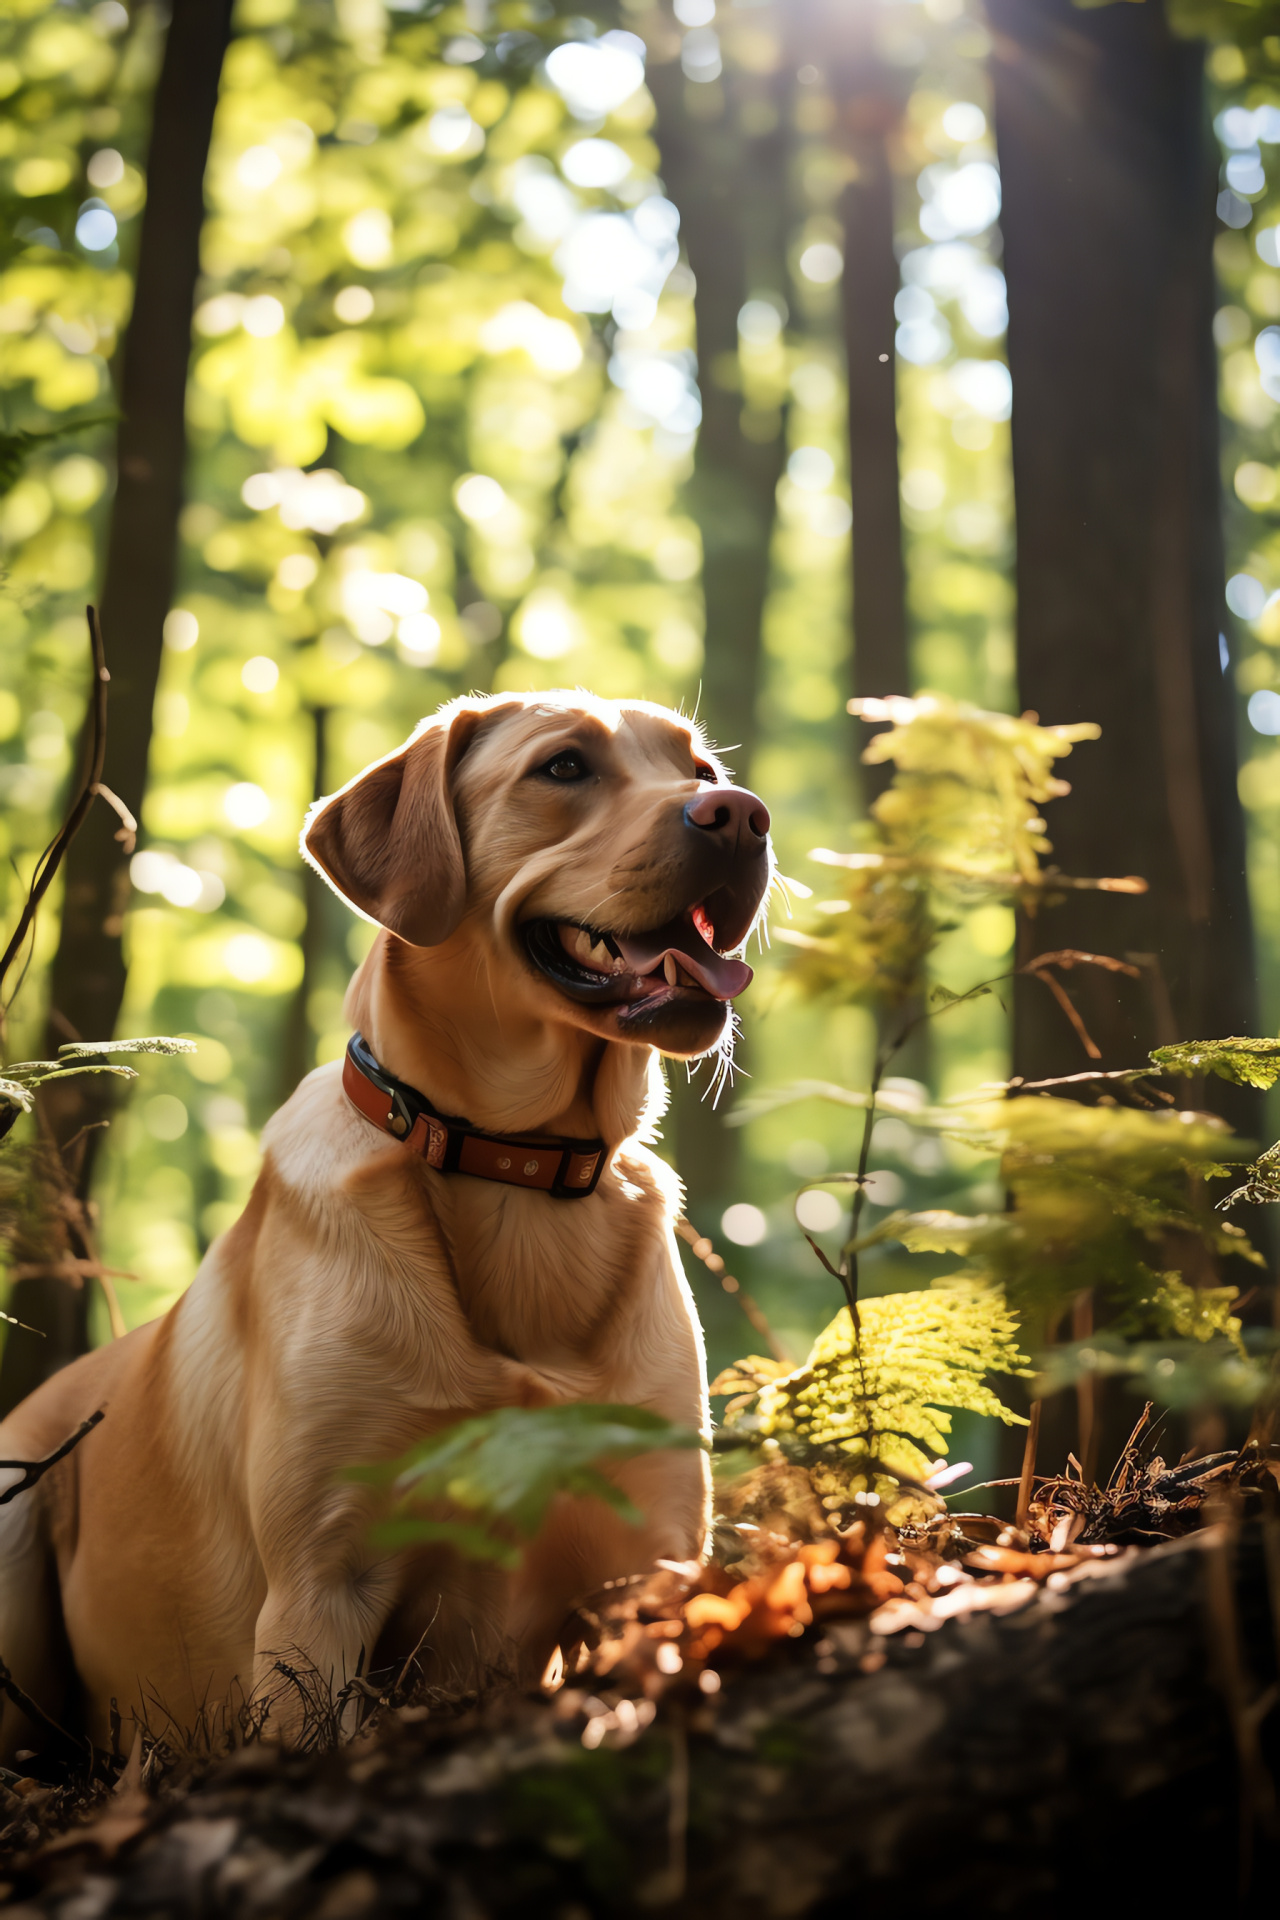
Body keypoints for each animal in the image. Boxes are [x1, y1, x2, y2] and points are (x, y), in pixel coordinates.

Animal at [0, 695, 771, 1758]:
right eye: (564, 767)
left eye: (699, 771)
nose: (743, 816)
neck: (515, 1168)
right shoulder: (321, 1588)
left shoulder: (648, 1558)